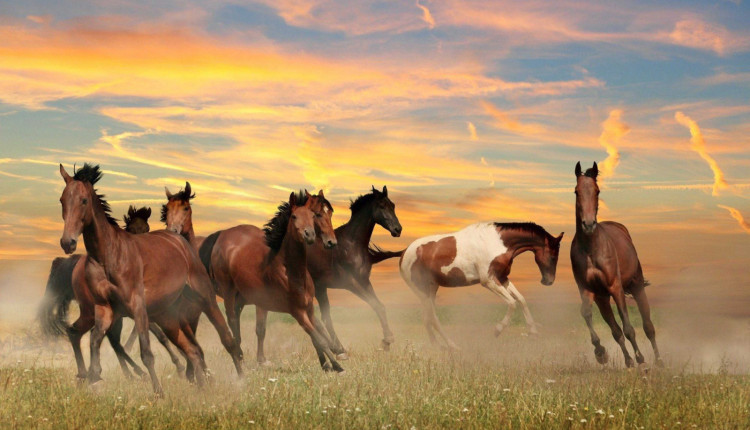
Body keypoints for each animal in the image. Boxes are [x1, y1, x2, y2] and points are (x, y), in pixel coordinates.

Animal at [37, 206, 187, 380]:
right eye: (131, 230)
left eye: (147, 228)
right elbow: (159, 335)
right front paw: (180, 365)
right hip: (96, 312)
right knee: (108, 339)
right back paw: (130, 372)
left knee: (108, 339)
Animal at [58, 165, 244, 394]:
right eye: (62, 200)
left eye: (84, 200)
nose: (67, 242)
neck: (108, 256)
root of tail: (180, 242)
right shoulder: (104, 308)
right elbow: (95, 341)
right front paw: (93, 376)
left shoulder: (138, 307)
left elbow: (146, 351)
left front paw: (158, 393)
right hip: (167, 317)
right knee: (192, 350)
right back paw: (200, 388)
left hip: (205, 299)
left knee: (225, 339)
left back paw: (240, 380)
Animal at [308, 186, 406, 356]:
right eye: (382, 206)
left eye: (393, 205)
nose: (397, 229)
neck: (352, 244)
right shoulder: (350, 283)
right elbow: (374, 304)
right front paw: (386, 341)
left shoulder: (364, 280)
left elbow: (380, 306)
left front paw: (387, 341)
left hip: (320, 288)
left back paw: (337, 349)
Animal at [400, 222, 564, 350]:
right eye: (553, 255)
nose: (548, 281)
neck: (498, 243)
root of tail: (404, 253)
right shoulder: (489, 281)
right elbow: (512, 303)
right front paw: (498, 330)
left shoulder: (502, 278)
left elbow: (521, 300)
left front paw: (533, 332)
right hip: (423, 292)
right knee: (433, 318)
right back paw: (452, 346)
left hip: (431, 290)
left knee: (426, 318)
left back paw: (437, 347)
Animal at [568, 163, 664, 368]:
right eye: (576, 191)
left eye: (597, 190)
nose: (588, 224)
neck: (591, 249)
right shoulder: (588, 290)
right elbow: (587, 314)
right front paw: (601, 353)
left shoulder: (616, 287)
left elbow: (628, 327)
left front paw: (641, 360)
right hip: (603, 299)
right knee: (615, 330)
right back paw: (627, 360)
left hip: (636, 287)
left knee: (648, 326)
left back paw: (658, 361)